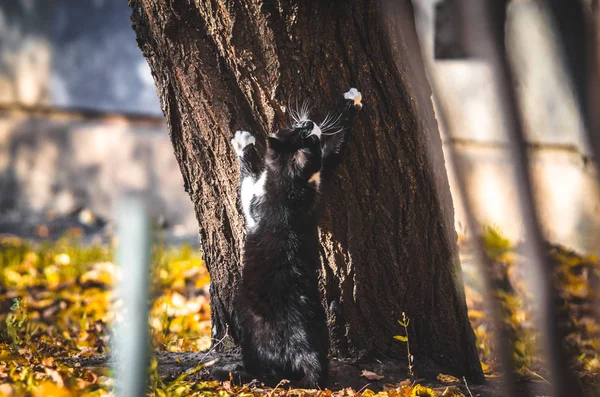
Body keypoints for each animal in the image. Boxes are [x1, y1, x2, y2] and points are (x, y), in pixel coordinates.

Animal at [225, 87, 358, 386]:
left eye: (309, 135)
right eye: (297, 129)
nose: (307, 122)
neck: (290, 183)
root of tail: (301, 347)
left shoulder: (253, 201)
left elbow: (247, 178)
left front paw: (244, 143)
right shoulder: (321, 176)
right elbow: (337, 148)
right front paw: (353, 102)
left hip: (251, 330)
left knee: (262, 369)